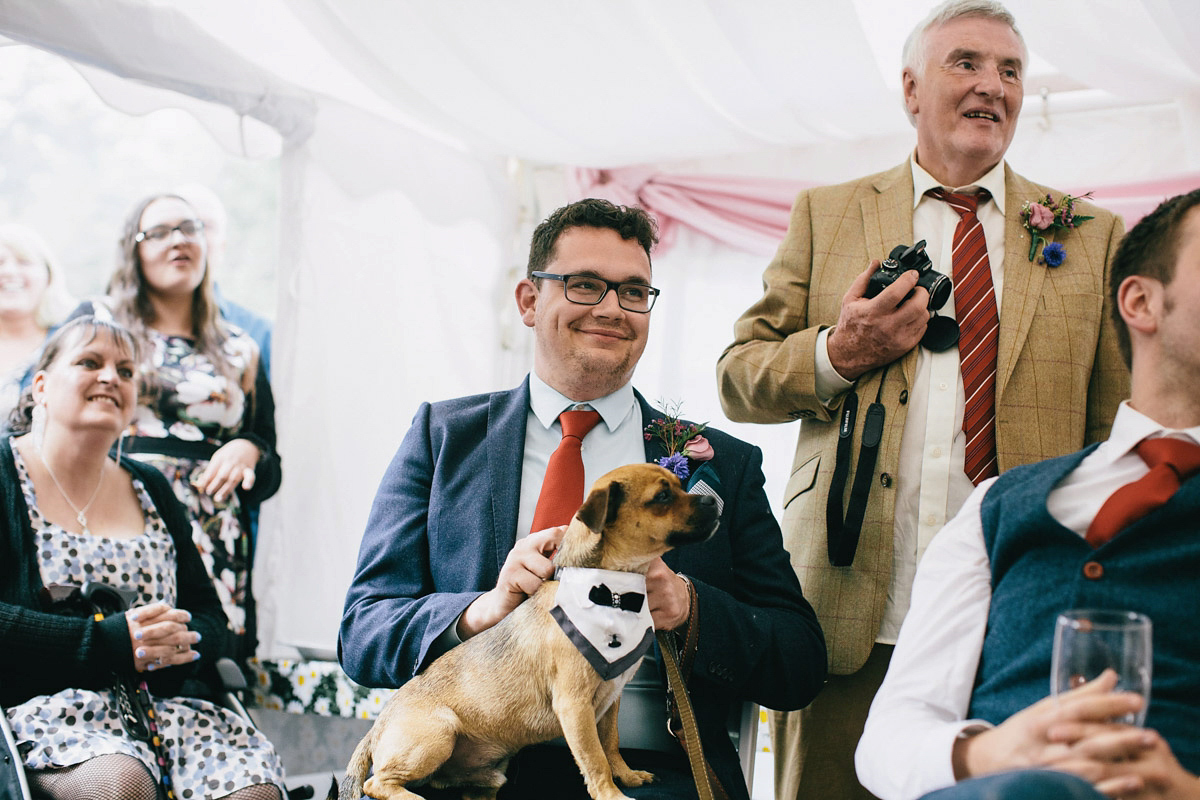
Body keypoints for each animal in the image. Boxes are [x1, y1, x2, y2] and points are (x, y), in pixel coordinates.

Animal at [333, 462, 715, 800]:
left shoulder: (610, 702)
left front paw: (628, 776)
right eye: (662, 496)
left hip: (483, 774)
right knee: (377, 783)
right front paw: (611, 794)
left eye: (679, 487)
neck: (613, 592)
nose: (711, 501)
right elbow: (595, 760)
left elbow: (610, 745)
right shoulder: (575, 707)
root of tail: (377, 726)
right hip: (437, 735)